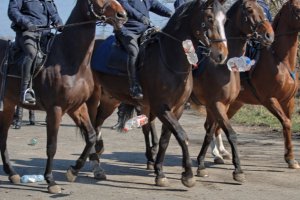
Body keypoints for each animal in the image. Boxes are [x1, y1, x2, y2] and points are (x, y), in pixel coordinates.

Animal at [0, 0, 126, 194]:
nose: (122, 15)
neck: (69, 59)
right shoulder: (55, 110)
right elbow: (52, 146)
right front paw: (50, 181)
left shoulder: (77, 107)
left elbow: (91, 136)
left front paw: (73, 170)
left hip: (8, 104)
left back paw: (12, 172)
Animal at [88, 0, 229, 188]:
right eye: (209, 18)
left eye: (224, 19)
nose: (221, 54)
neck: (170, 60)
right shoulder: (161, 107)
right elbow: (181, 135)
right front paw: (188, 175)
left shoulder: (176, 108)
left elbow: (165, 139)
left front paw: (160, 172)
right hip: (95, 99)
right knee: (94, 125)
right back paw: (95, 161)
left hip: (110, 100)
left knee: (99, 123)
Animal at [190, 0, 274, 182]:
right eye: (249, 9)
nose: (269, 35)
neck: (225, 66)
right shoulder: (216, 104)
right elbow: (231, 133)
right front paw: (238, 170)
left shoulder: (220, 105)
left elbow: (210, 132)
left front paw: (201, 165)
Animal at [211, 0, 300, 170]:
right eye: (297, 9)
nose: (268, 35)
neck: (280, 60)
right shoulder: (269, 99)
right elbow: (286, 122)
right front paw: (290, 158)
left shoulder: (288, 101)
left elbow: (288, 124)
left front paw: (290, 158)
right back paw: (217, 154)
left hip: (234, 103)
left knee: (217, 124)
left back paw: (222, 152)